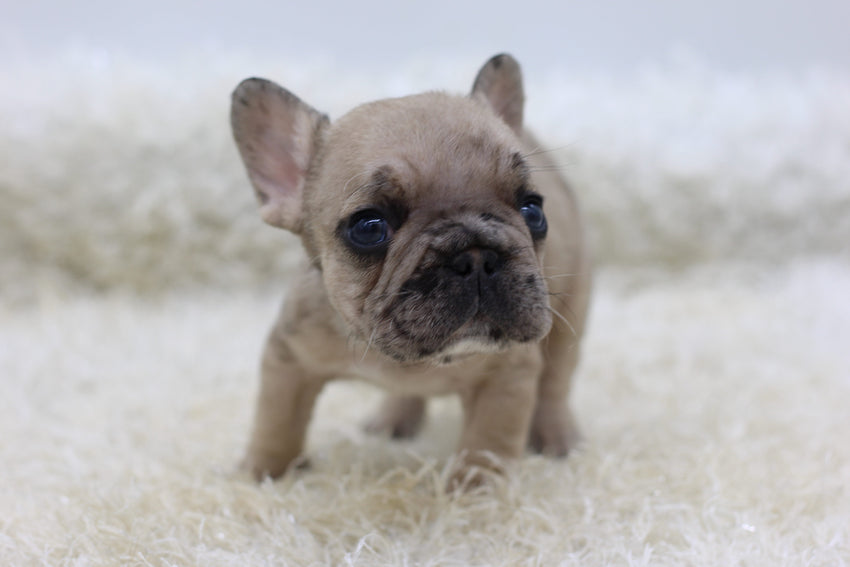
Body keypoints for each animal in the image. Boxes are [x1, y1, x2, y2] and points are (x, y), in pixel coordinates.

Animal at [232, 54, 588, 488]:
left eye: (532, 210)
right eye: (368, 227)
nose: (475, 256)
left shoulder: (509, 376)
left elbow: (487, 446)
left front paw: (475, 493)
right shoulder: (290, 356)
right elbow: (276, 420)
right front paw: (263, 473)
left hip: (571, 314)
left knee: (556, 383)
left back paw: (557, 434)